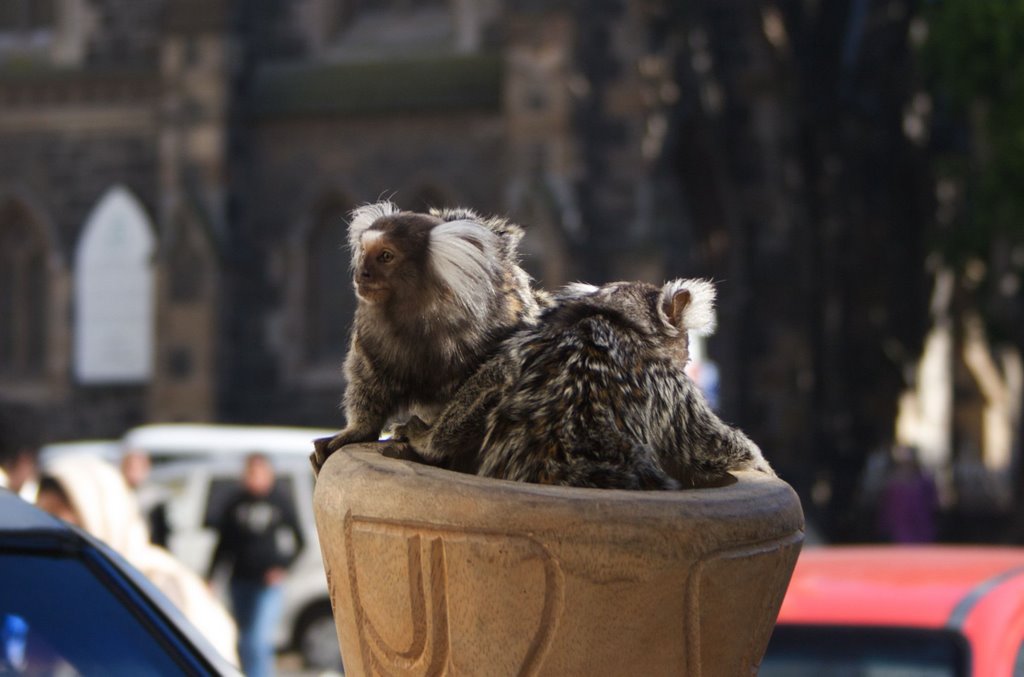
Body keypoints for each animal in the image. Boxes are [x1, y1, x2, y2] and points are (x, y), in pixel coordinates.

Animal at [309, 200, 548, 475]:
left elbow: (498, 376)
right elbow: (368, 375)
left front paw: (426, 441)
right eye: (364, 252)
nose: (362, 273)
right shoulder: (369, 333)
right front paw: (359, 430)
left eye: (386, 256)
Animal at [395, 276, 770, 487]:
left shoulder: (527, 341)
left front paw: (425, 439)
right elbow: (708, 445)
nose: (689, 354)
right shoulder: (663, 380)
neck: (614, 320)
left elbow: (494, 378)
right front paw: (759, 464)